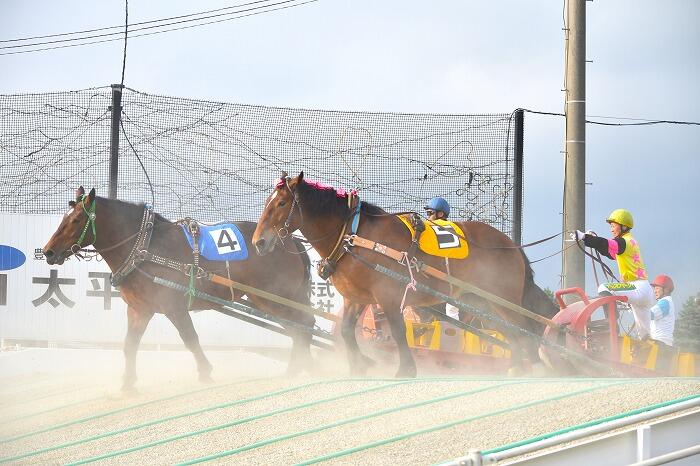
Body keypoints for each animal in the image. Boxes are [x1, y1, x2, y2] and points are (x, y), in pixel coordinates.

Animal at [43, 186, 314, 390]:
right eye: (64, 218)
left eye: (76, 219)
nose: (48, 252)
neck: (146, 247)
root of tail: (290, 240)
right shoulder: (139, 309)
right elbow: (129, 345)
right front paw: (128, 383)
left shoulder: (174, 307)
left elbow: (190, 338)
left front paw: (205, 371)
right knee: (301, 327)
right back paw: (303, 365)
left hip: (276, 297)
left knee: (302, 326)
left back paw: (301, 366)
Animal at [253, 173, 556, 376]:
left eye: (281, 203)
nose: (259, 242)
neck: (353, 234)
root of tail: (510, 244)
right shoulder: (356, 297)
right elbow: (348, 331)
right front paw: (360, 364)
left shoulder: (388, 294)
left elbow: (398, 331)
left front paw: (406, 368)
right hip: (482, 302)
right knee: (511, 332)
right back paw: (516, 366)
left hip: (503, 298)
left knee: (525, 329)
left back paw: (536, 366)